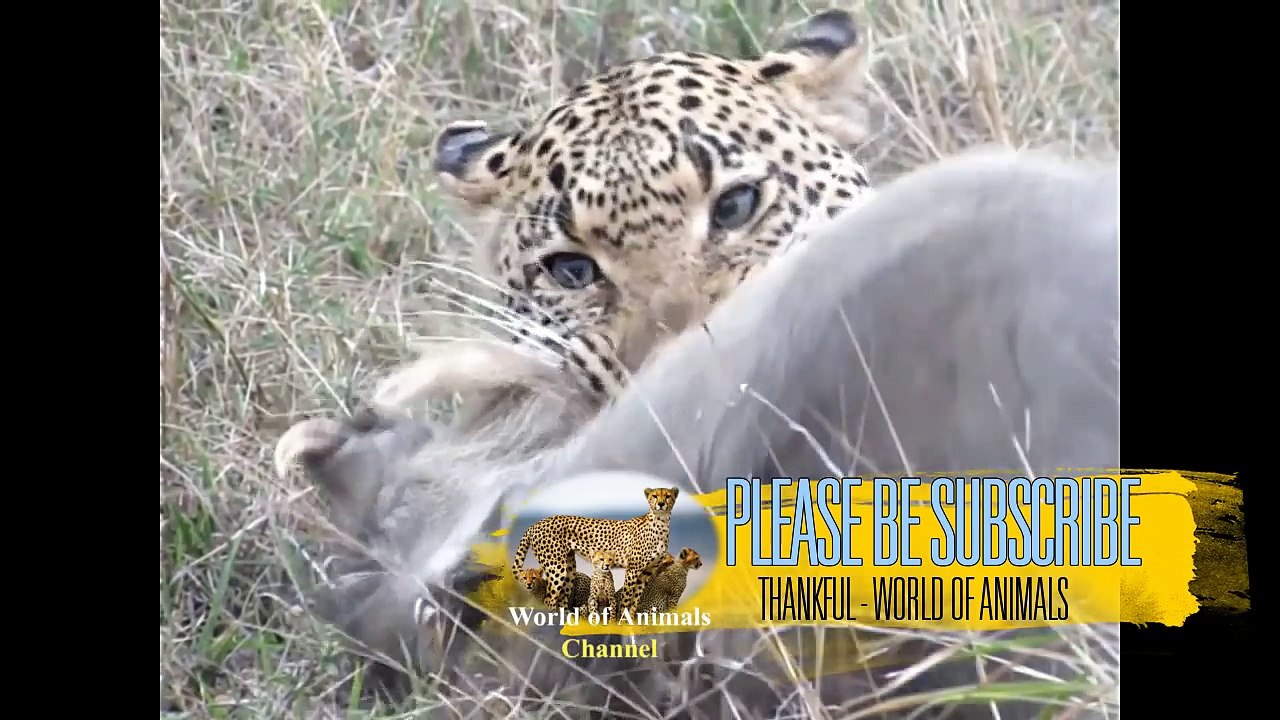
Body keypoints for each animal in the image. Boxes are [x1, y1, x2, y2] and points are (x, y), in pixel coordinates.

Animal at [509, 487, 677, 611]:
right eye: (655, 496)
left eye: (668, 496)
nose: (661, 503)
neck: (661, 523)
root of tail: (536, 523)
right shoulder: (633, 570)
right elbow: (626, 599)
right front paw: (622, 622)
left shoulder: (646, 572)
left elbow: (635, 601)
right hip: (556, 568)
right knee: (549, 600)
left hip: (569, 568)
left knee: (561, 599)